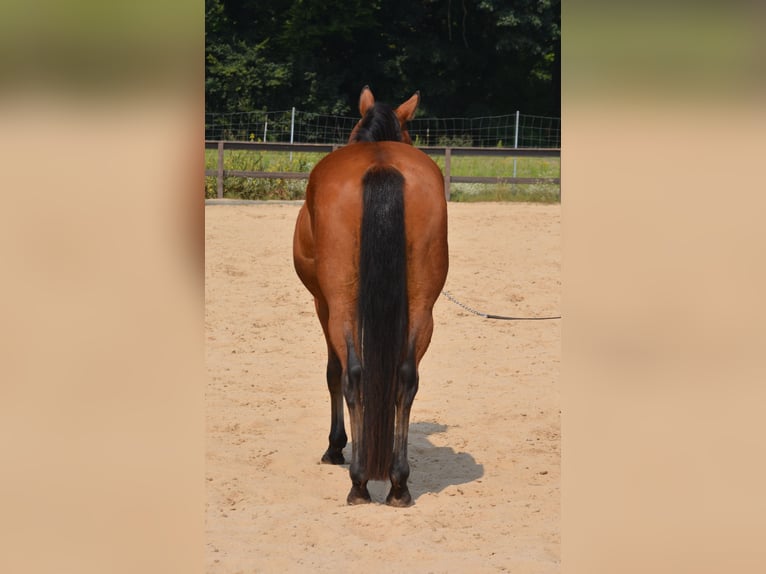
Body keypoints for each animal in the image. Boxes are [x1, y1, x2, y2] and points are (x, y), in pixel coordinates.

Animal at [292, 86, 448, 506]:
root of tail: (381, 166)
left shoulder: (321, 304)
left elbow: (333, 372)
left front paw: (335, 447)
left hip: (340, 308)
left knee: (354, 374)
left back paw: (359, 482)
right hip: (422, 309)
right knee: (406, 378)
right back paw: (399, 485)